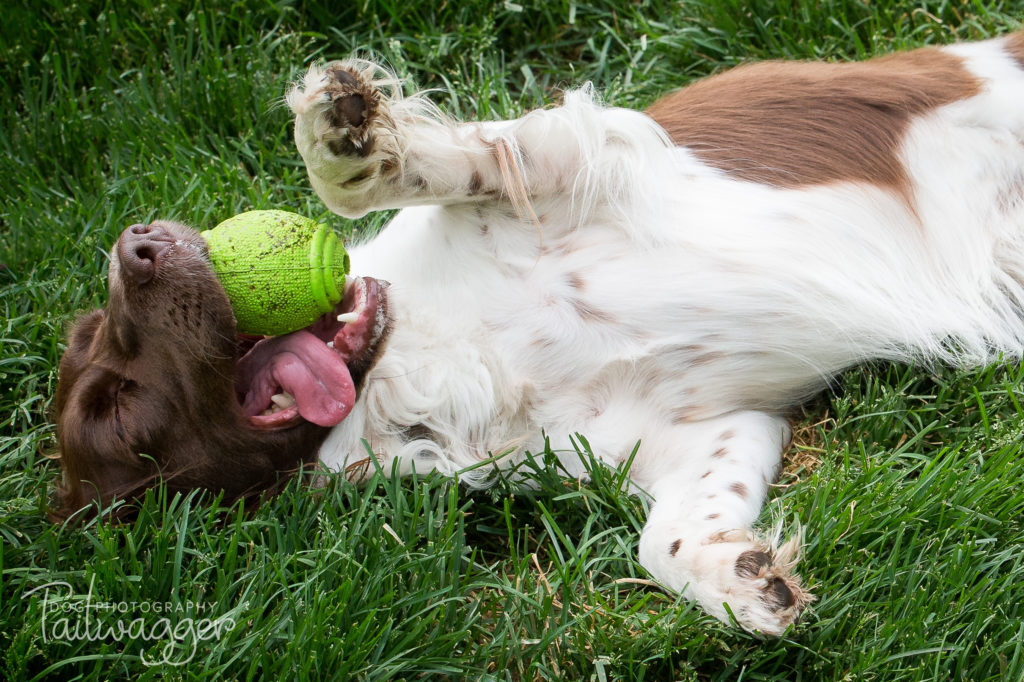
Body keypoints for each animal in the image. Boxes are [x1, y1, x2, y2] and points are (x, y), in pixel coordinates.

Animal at [54, 31, 1024, 630]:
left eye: (104, 331)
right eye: (119, 409)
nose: (136, 245)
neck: (433, 358)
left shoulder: (588, 155)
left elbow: (451, 163)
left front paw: (348, 133)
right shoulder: (703, 431)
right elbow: (664, 539)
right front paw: (740, 579)